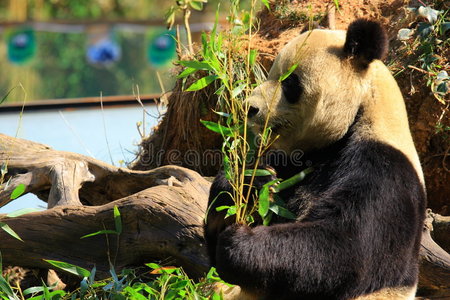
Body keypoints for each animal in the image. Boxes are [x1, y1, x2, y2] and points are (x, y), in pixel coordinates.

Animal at [204, 19, 426, 300]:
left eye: (290, 82)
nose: (250, 108)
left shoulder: (384, 171)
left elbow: (343, 247)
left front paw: (237, 242)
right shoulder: (296, 158)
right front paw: (249, 183)